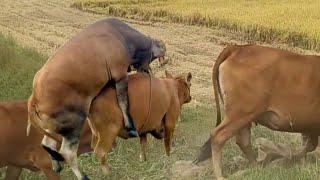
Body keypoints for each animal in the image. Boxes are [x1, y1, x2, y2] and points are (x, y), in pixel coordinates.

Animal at [26, 17, 165, 179]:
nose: (147, 73)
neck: (120, 35)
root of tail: (34, 96)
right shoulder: (120, 76)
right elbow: (124, 102)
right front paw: (130, 127)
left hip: (53, 128)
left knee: (47, 143)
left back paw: (56, 166)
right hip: (75, 123)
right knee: (67, 152)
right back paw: (83, 175)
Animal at [196, 44, 320, 179]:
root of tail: (237, 48)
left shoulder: (309, 127)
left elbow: (308, 146)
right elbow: (308, 147)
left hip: (244, 117)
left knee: (243, 140)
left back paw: (256, 167)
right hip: (240, 113)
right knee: (218, 136)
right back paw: (220, 175)